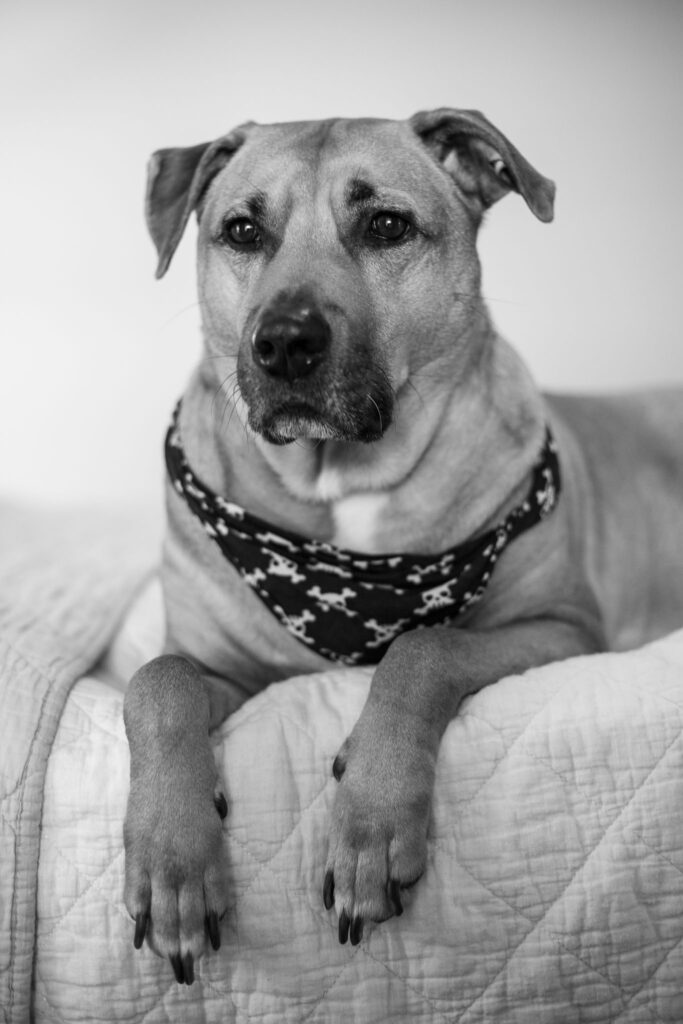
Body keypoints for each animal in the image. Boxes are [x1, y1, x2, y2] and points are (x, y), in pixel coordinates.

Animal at [121, 110, 683, 983]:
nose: (284, 343)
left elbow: (423, 646)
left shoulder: (561, 629)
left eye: (386, 225)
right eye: (242, 230)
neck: (341, 485)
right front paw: (171, 861)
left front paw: (371, 822)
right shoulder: (224, 668)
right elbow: (157, 681)